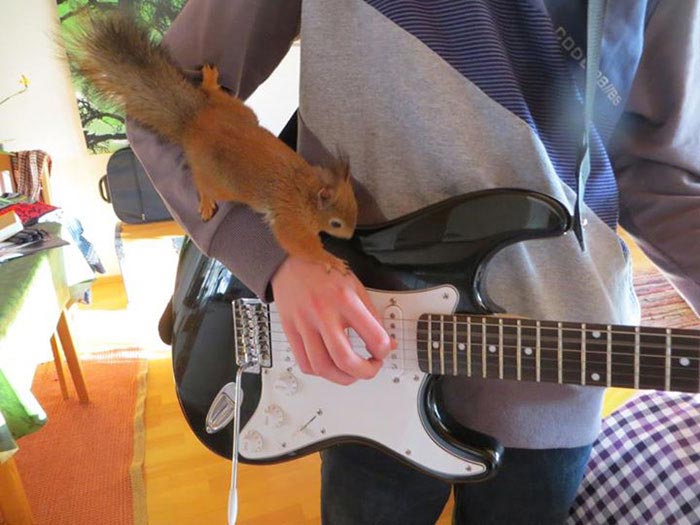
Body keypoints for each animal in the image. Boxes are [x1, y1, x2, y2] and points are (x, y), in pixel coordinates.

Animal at [69, 12, 356, 274]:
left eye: (356, 206)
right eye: (336, 224)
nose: (351, 236)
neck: (306, 190)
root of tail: (193, 123)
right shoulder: (290, 219)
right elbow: (298, 245)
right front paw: (329, 260)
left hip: (237, 111)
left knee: (213, 96)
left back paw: (209, 82)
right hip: (220, 182)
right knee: (202, 184)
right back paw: (206, 201)